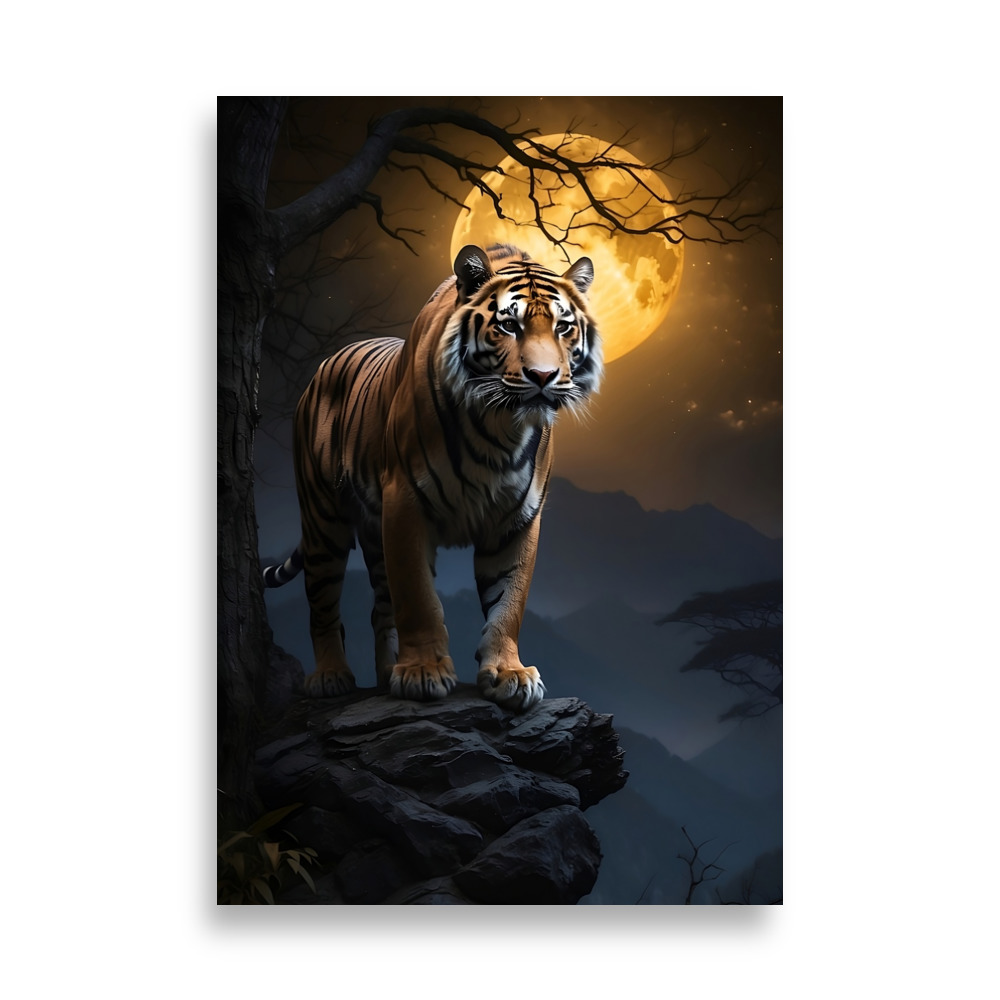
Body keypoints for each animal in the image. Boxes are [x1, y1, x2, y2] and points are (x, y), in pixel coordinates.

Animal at [263, 243, 602, 712]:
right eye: (509, 325)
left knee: (379, 607)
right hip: (322, 521)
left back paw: (386, 676)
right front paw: (423, 672)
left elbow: (509, 601)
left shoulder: (517, 519)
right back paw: (331, 677)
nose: (543, 377)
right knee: (323, 602)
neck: (499, 429)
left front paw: (510, 674)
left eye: (563, 327)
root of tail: (324, 364)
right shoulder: (406, 503)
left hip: (373, 532)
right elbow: (418, 596)